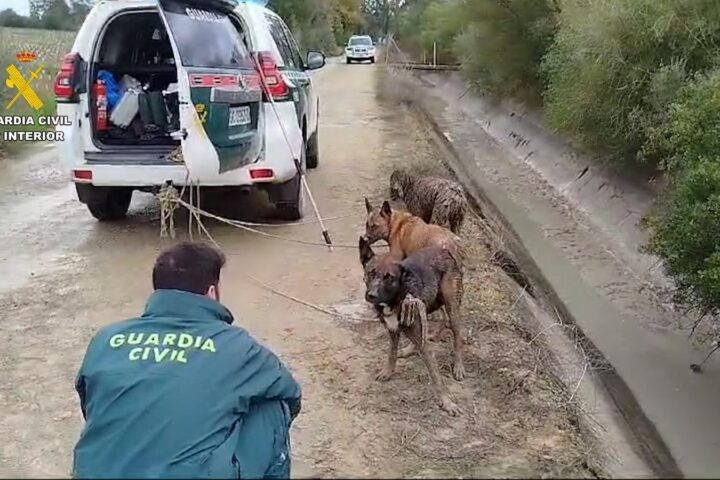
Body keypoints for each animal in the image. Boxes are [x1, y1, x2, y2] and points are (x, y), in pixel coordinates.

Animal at [358, 234, 464, 414]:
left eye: (389, 277)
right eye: (371, 273)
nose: (371, 295)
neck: (396, 298)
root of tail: (443, 249)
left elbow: (436, 376)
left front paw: (447, 402)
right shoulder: (392, 330)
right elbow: (391, 354)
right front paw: (388, 372)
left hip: (452, 307)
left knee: (457, 335)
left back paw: (458, 366)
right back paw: (410, 348)